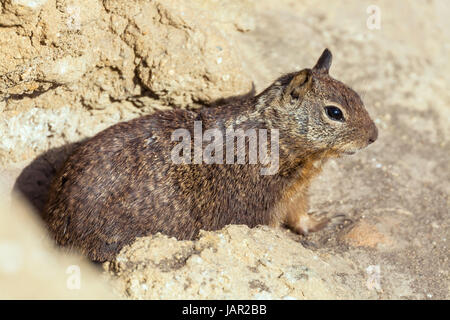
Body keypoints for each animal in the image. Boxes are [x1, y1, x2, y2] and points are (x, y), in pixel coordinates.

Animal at [44, 48, 376, 262]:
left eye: (358, 97)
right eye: (334, 112)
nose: (374, 136)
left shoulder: (296, 192)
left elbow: (300, 217)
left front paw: (325, 221)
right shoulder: (260, 205)